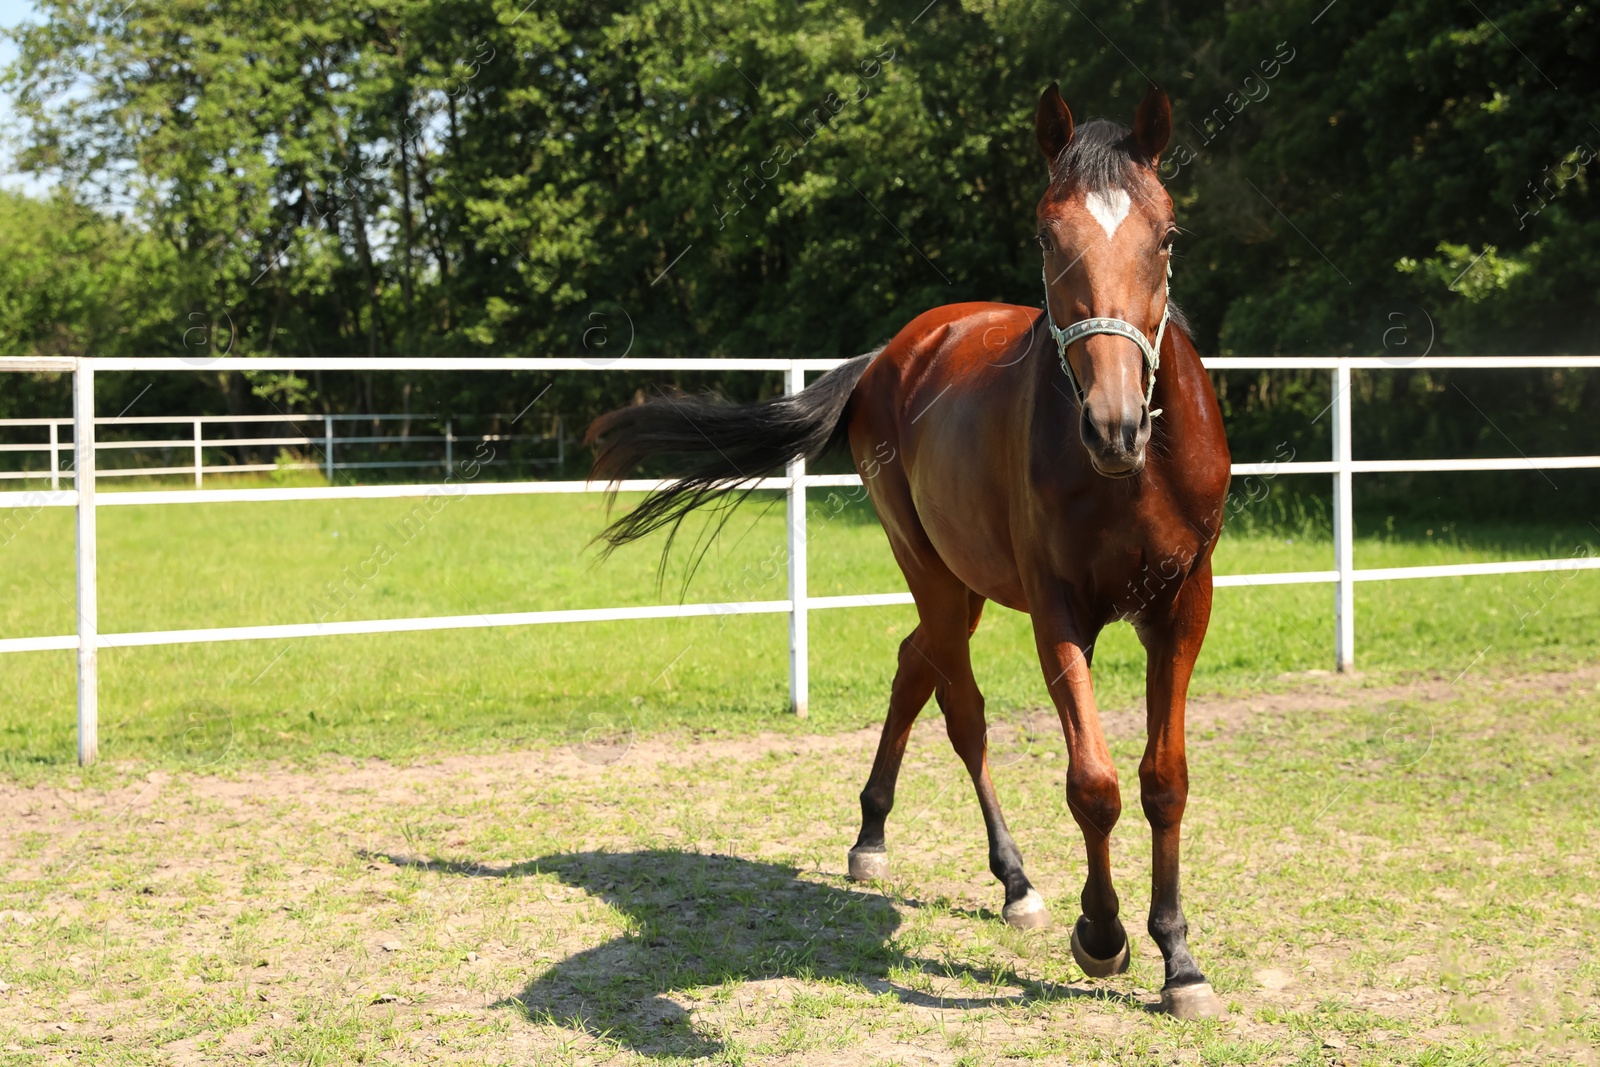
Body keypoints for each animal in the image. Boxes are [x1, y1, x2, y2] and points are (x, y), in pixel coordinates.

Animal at [595, 81, 1228, 1017]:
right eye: (1047, 235)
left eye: (1169, 234)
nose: (1113, 424)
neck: (1130, 475)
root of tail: (892, 351)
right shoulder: (1057, 611)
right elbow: (1094, 781)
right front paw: (1103, 934)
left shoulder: (1184, 605)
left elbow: (1165, 779)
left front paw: (1179, 957)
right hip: (928, 566)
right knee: (960, 708)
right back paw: (1013, 881)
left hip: (964, 583)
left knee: (913, 660)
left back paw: (873, 833)